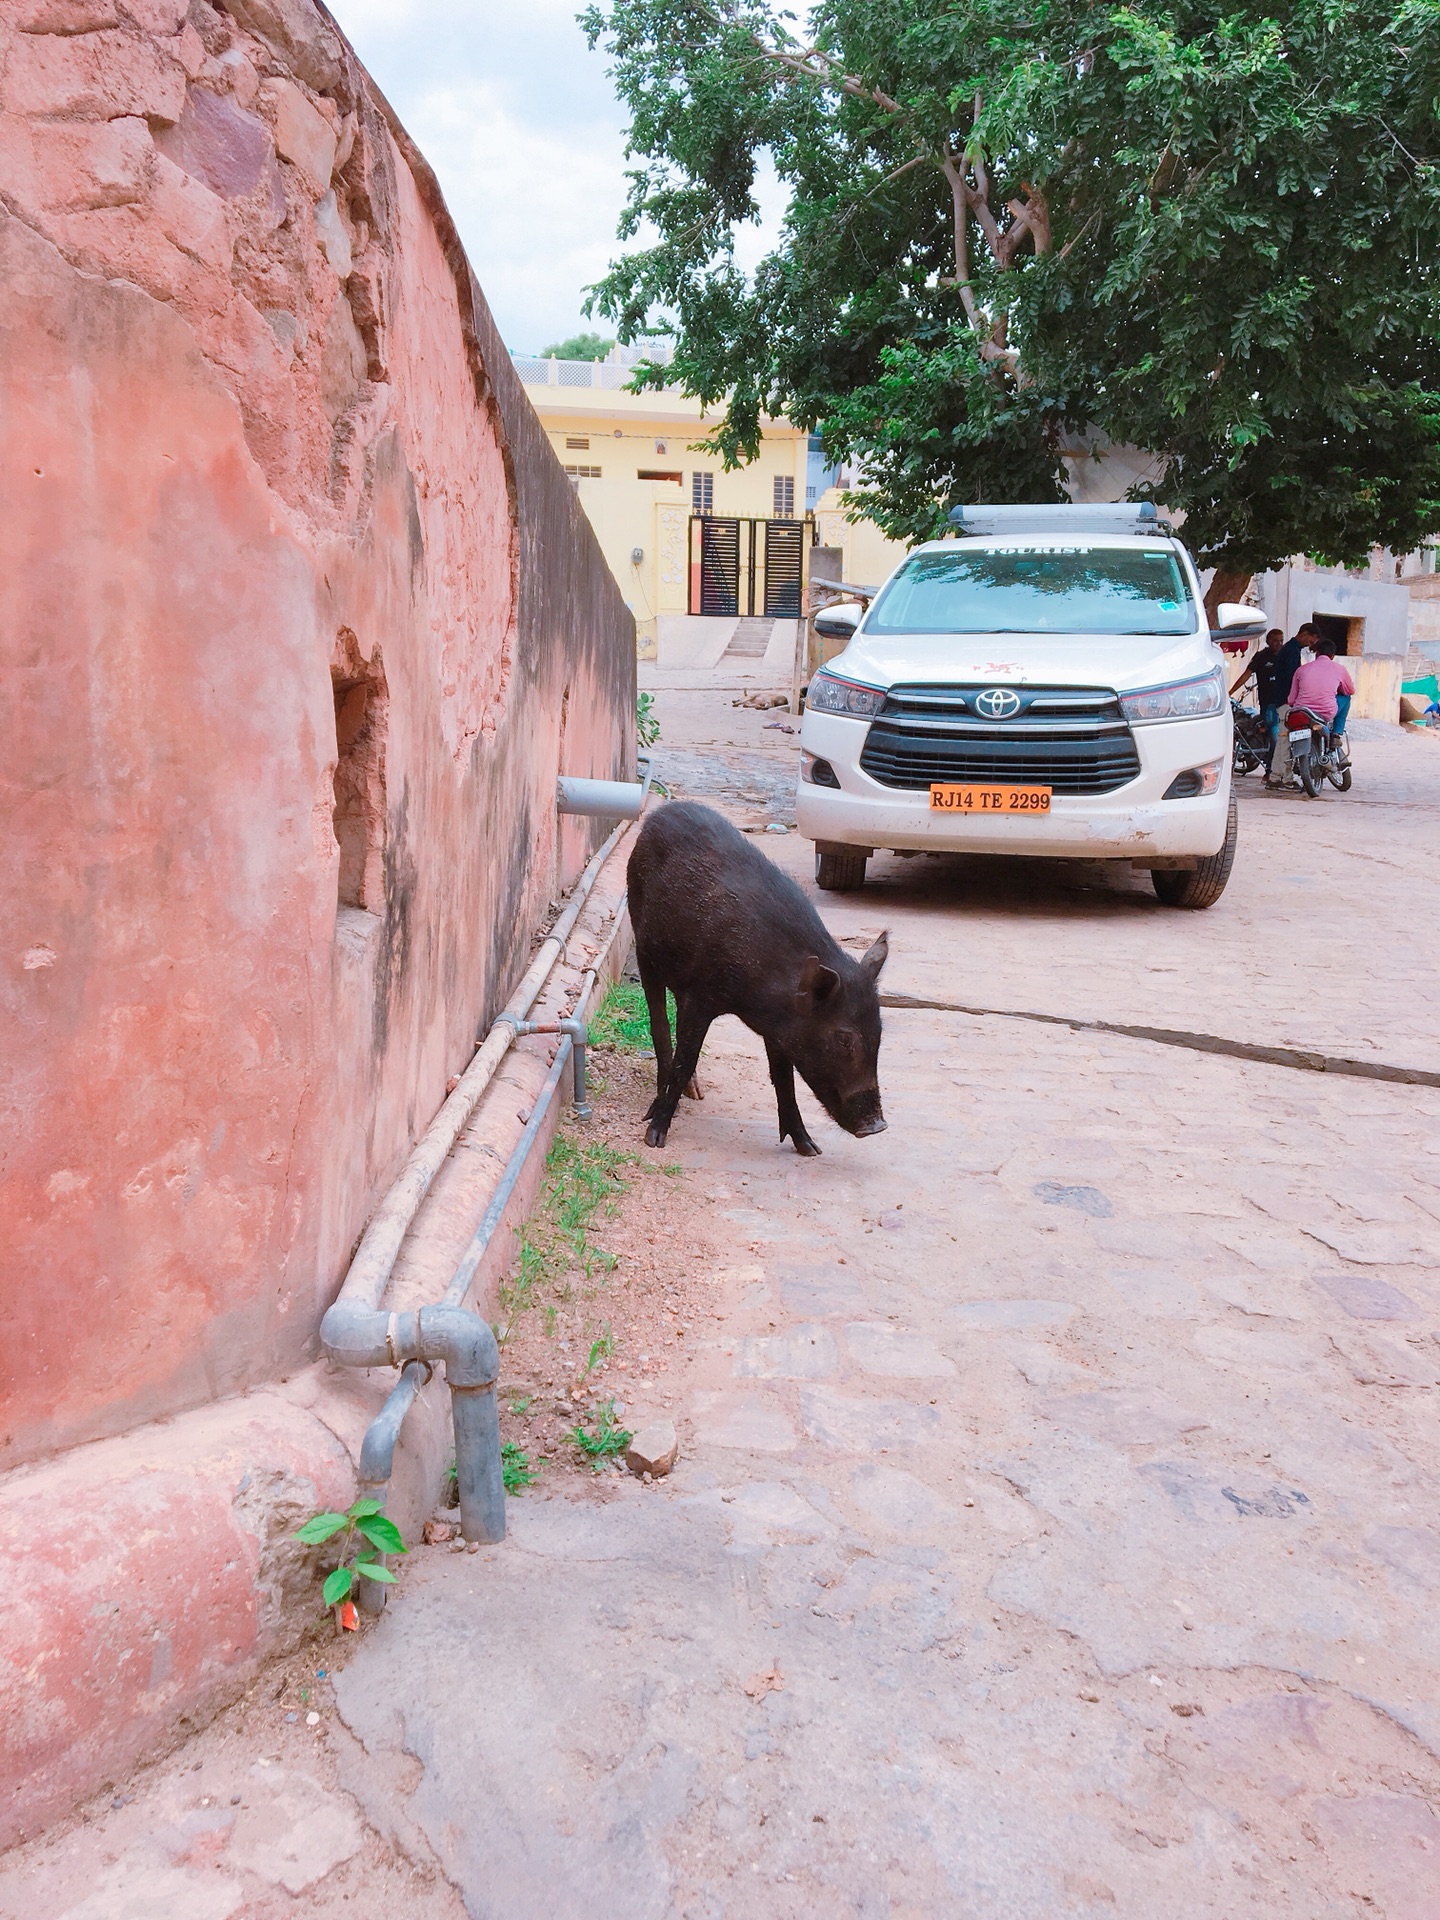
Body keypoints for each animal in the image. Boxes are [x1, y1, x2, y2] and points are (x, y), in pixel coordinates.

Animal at [629, 798, 890, 1144]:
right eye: (844, 1039)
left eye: (879, 1032)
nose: (877, 1127)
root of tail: (661, 811)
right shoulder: (702, 995)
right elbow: (686, 1058)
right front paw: (654, 1137)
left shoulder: (778, 1027)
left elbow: (783, 1077)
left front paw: (809, 1147)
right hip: (643, 948)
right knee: (660, 1025)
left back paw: (695, 1093)